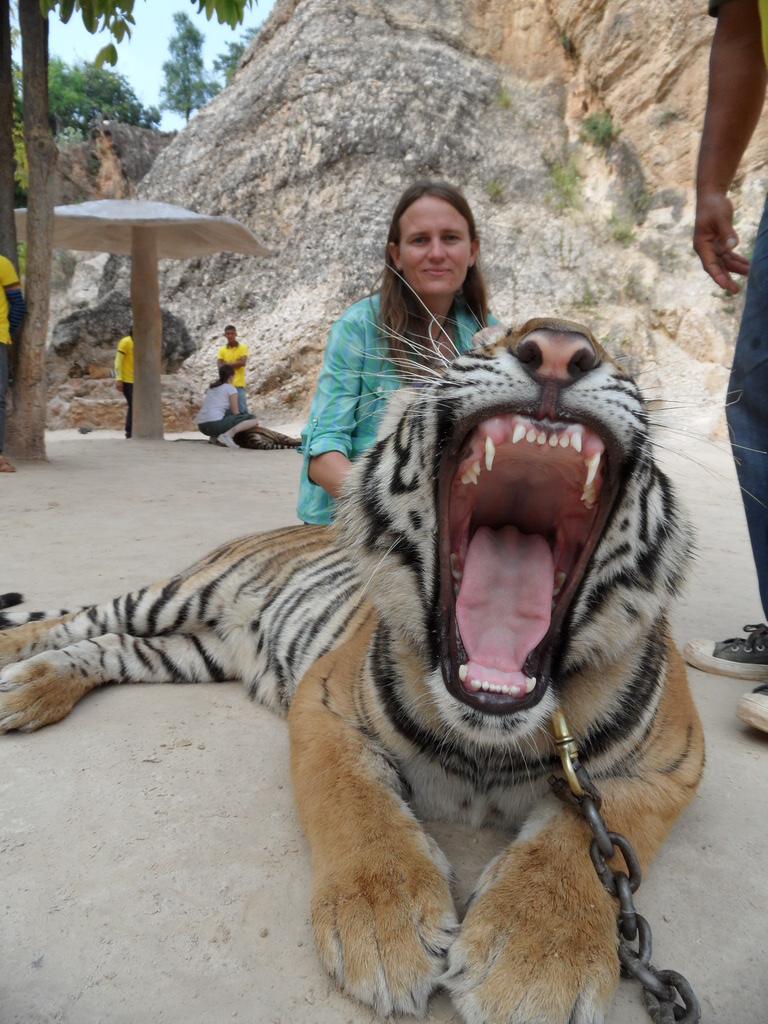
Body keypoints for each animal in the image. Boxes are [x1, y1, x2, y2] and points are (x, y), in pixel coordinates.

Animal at [0, 317, 704, 1024]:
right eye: (488, 340)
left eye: (622, 361)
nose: (560, 348)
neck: (486, 736)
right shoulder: (324, 703)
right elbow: (352, 798)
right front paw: (386, 928)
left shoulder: (668, 767)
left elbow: (583, 846)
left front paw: (534, 964)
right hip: (178, 595)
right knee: (75, 621)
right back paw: (13, 673)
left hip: (192, 651)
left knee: (106, 648)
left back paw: (29, 692)